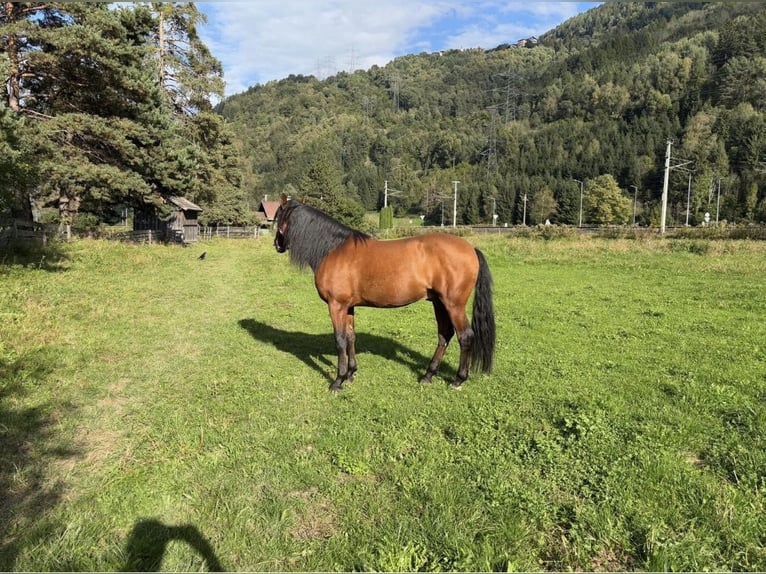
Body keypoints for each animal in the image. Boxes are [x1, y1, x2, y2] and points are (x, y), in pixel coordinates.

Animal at [273, 196, 496, 391]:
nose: (277, 245)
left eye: (278, 217)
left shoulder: (336, 305)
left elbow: (340, 340)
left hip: (453, 304)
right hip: (439, 302)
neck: (333, 250)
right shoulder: (348, 307)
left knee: (465, 336)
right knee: (444, 335)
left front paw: (338, 381)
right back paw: (428, 375)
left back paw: (458, 380)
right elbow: (351, 337)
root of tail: (471, 249)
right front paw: (351, 374)